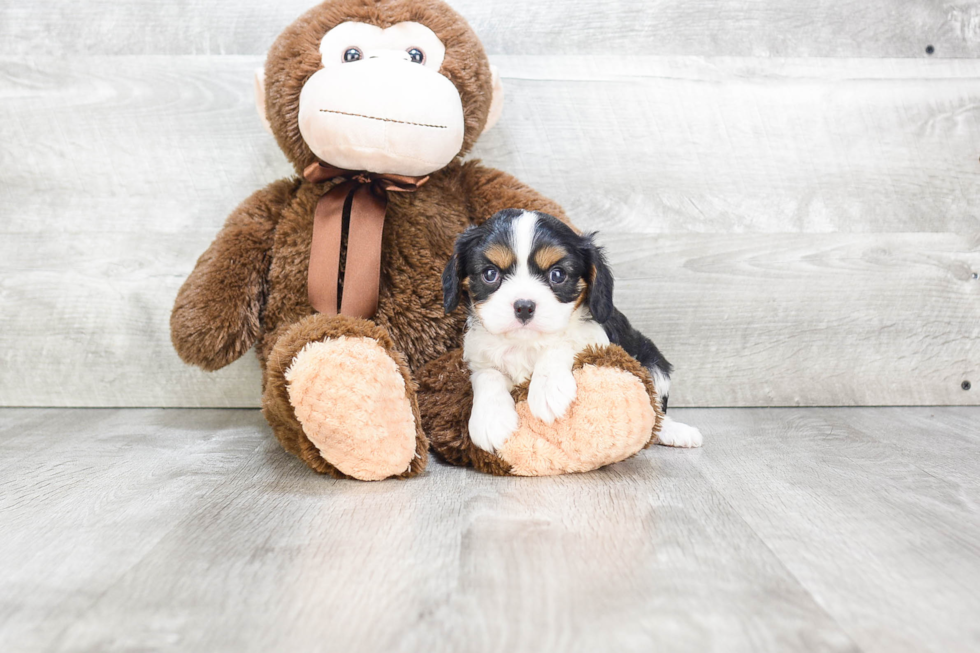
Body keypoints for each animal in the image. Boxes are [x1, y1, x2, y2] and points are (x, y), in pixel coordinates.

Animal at [440, 210, 700, 454]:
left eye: (557, 275)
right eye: (490, 274)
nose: (524, 306)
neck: (526, 343)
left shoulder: (597, 338)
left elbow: (562, 344)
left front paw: (547, 388)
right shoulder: (479, 357)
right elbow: (488, 375)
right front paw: (490, 420)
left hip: (654, 362)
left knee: (656, 410)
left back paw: (676, 431)